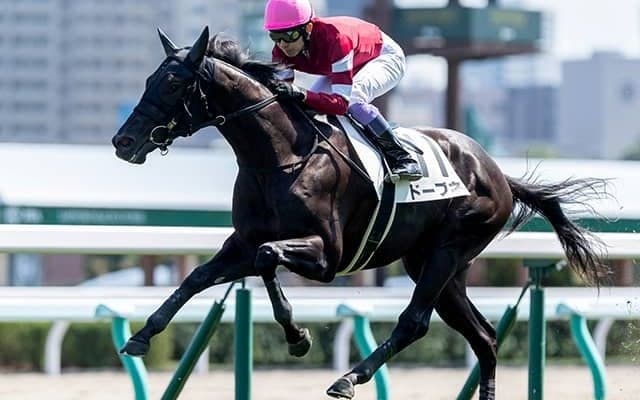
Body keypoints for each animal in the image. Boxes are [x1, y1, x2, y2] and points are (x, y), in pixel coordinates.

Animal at [112, 27, 608, 400]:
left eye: (173, 84)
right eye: (148, 80)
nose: (123, 141)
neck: (279, 157)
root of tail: (497, 173)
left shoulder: (327, 256)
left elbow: (267, 258)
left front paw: (297, 336)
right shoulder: (243, 239)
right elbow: (201, 275)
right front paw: (142, 334)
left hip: (449, 249)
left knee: (414, 322)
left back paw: (349, 377)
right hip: (435, 265)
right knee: (484, 338)